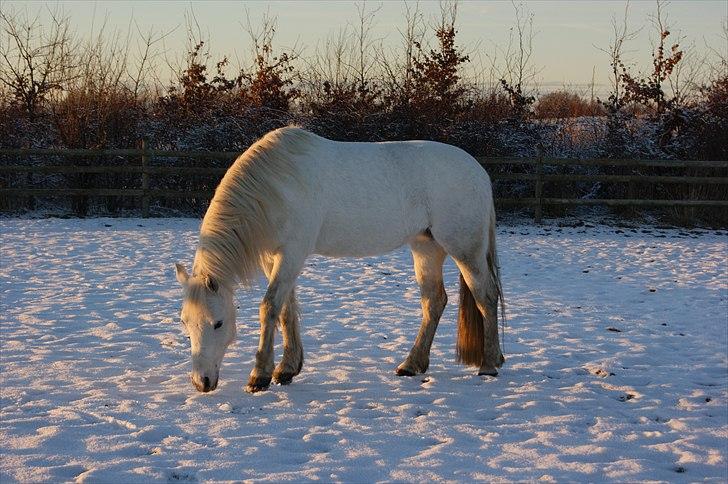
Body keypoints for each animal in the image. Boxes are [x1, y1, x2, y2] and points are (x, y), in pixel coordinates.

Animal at [177, 126, 506, 392]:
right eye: (185, 324)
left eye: (218, 323)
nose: (201, 382)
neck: (277, 188)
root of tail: (478, 171)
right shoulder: (275, 258)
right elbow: (286, 311)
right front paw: (287, 369)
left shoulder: (292, 253)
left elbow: (269, 307)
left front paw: (260, 376)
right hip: (426, 248)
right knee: (434, 302)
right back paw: (412, 364)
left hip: (465, 249)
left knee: (485, 296)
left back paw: (489, 365)